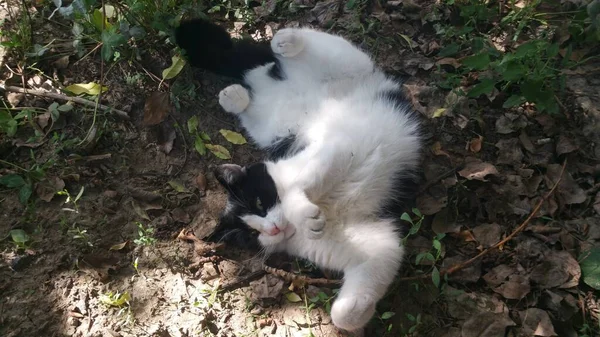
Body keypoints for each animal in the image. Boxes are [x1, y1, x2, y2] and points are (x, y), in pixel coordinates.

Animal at [176, 19, 424, 330]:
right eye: (250, 234)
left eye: (260, 202)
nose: (271, 228)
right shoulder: (375, 244)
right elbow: (366, 281)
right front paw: (358, 313)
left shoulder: (334, 149)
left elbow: (299, 189)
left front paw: (302, 212)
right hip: (267, 128)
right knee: (251, 103)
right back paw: (236, 96)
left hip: (345, 66)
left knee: (317, 47)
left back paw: (285, 41)